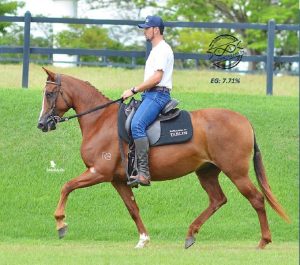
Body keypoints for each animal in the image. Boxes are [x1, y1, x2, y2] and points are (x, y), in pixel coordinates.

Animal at [36, 67, 290, 248]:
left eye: (49, 94)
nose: (41, 124)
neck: (100, 121)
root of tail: (244, 121)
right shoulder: (118, 180)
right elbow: (132, 208)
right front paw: (143, 239)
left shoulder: (99, 172)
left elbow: (67, 186)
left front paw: (60, 223)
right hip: (207, 172)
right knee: (217, 200)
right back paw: (190, 234)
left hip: (236, 172)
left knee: (256, 199)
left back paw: (263, 241)